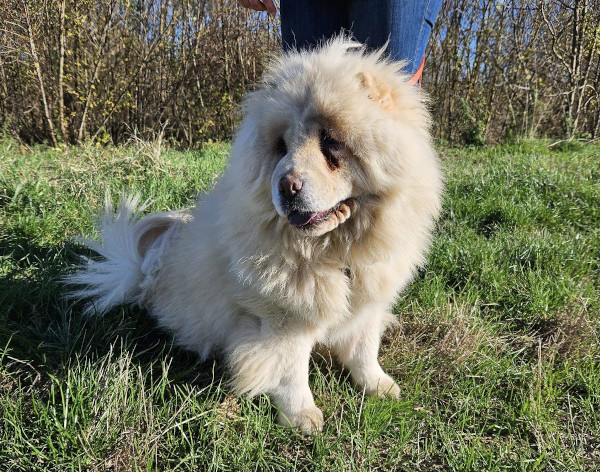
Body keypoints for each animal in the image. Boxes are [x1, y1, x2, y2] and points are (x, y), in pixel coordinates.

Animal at [66, 38, 443, 433]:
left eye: (331, 142)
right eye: (281, 146)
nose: (287, 185)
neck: (336, 250)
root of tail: (144, 272)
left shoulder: (367, 302)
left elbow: (364, 348)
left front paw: (378, 386)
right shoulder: (283, 320)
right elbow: (292, 371)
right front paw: (302, 417)